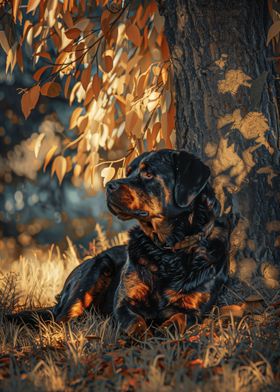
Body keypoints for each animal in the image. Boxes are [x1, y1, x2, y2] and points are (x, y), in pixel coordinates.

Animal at [6, 149, 231, 336]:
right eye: (129, 171)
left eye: (148, 174)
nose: (109, 185)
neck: (167, 251)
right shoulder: (125, 302)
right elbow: (134, 322)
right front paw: (141, 337)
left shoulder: (194, 309)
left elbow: (178, 320)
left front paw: (163, 333)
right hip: (96, 267)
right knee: (62, 319)